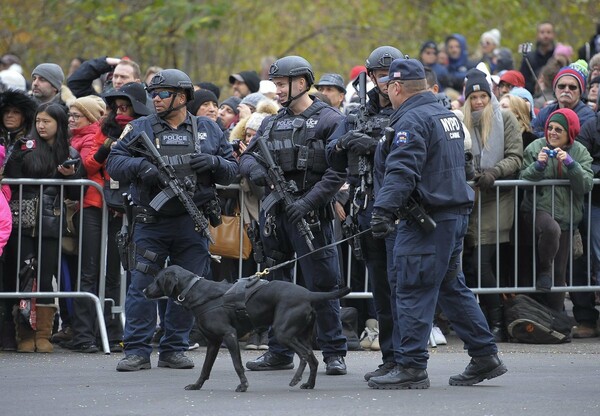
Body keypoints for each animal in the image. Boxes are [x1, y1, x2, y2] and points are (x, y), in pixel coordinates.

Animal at [143, 264, 350, 392]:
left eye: (156, 279)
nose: (144, 290)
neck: (195, 291)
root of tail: (308, 294)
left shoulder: (229, 335)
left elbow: (237, 365)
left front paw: (243, 385)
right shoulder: (213, 342)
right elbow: (205, 368)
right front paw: (196, 385)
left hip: (283, 334)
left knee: (305, 355)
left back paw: (296, 379)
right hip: (301, 335)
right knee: (313, 359)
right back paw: (308, 384)